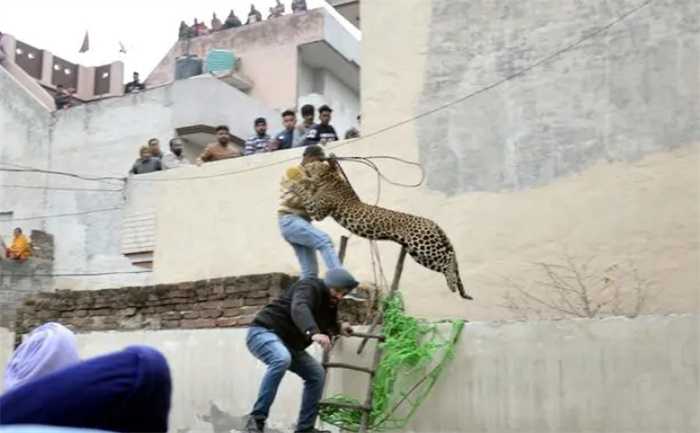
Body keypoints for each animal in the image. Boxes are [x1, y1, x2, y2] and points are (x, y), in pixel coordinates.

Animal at [288, 160, 474, 298]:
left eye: (312, 164)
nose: (303, 165)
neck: (329, 178)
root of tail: (431, 221)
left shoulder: (318, 211)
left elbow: (305, 194)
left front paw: (295, 183)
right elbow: (308, 191)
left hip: (423, 246)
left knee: (449, 258)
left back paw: (451, 284)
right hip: (418, 253)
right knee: (445, 262)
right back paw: (453, 285)